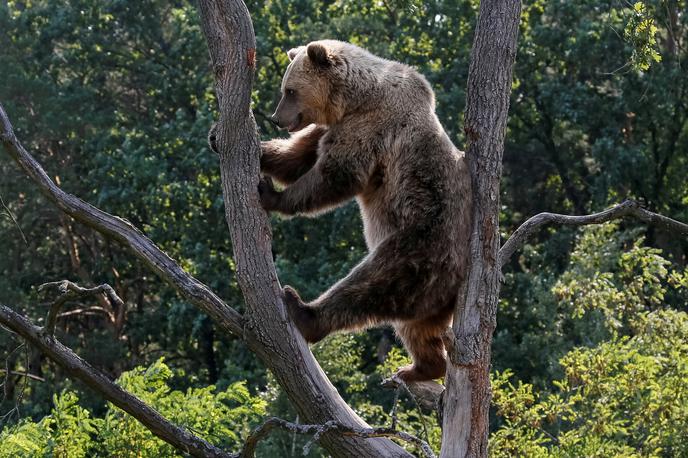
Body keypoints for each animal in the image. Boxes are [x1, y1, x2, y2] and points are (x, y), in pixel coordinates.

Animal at [258, 40, 472, 382]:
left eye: (290, 90)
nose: (278, 118)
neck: (355, 98)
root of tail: (454, 286)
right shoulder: (331, 127)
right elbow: (299, 155)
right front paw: (247, 145)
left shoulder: (371, 126)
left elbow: (337, 173)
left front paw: (272, 195)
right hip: (429, 292)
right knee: (415, 326)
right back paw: (419, 368)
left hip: (421, 245)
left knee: (371, 284)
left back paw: (303, 310)